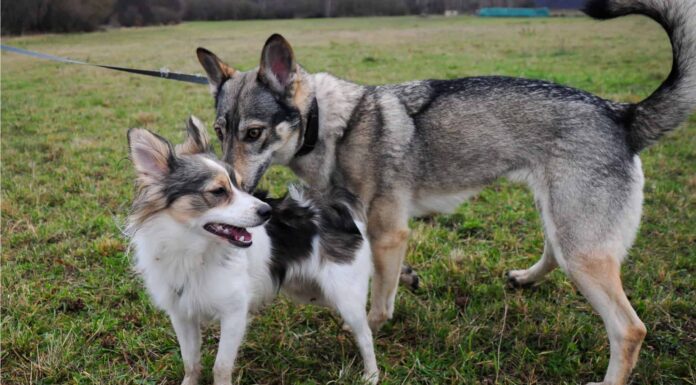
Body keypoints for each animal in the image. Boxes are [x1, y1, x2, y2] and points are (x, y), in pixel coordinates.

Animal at [122, 117, 378, 384]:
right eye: (219, 191)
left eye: (241, 186)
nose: (267, 211)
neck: (193, 251)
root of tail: (334, 206)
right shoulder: (182, 315)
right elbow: (190, 362)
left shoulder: (235, 313)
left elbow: (221, 366)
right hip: (311, 290)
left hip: (344, 294)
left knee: (365, 335)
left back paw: (371, 374)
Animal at [193, 1, 692, 382]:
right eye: (220, 131)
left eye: (253, 133)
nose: (229, 186)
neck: (333, 127)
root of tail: (623, 114)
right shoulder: (375, 232)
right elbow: (388, 279)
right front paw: (409, 279)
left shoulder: (389, 233)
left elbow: (377, 309)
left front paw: (367, 336)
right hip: (561, 220)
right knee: (553, 253)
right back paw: (525, 278)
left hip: (582, 247)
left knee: (629, 330)